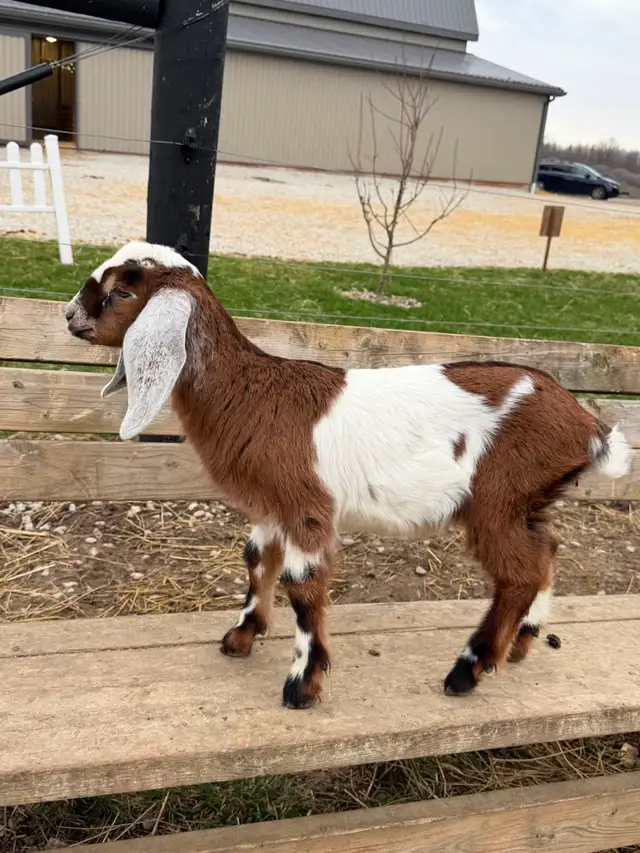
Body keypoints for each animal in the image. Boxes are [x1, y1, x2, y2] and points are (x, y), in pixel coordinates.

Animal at [65, 241, 632, 709]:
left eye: (121, 291)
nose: (69, 316)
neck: (253, 393)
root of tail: (587, 424)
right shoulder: (269, 507)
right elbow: (257, 562)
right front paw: (242, 636)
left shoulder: (306, 506)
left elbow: (300, 585)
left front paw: (302, 685)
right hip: (530, 501)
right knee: (547, 551)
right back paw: (522, 642)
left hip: (498, 498)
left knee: (519, 574)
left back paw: (468, 670)